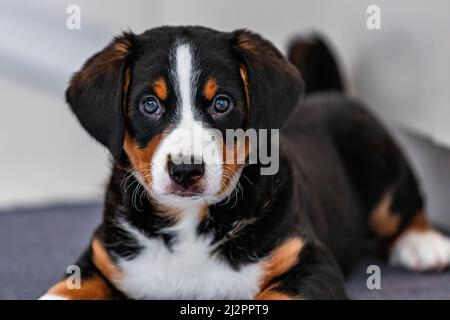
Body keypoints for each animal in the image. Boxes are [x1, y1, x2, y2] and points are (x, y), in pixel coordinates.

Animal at [41, 25, 450, 300]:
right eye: (149, 104)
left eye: (222, 103)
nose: (186, 170)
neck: (189, 223)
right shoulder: (100, 259)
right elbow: (63, 290)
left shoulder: (310, 264)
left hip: (380, 161)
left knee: (406, 207)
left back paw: (424, 245)